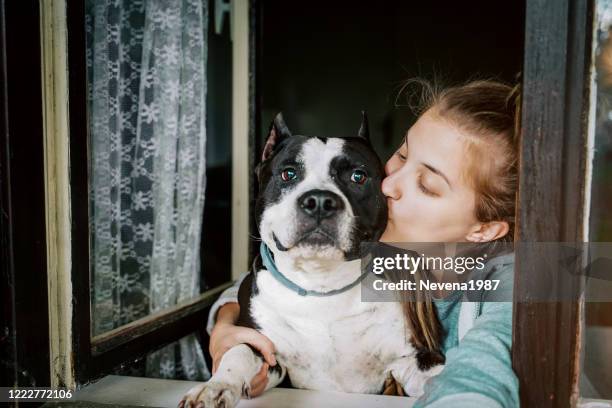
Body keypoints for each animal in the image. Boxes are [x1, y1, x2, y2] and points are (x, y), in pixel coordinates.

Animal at [182, 112, 444, 408]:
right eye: (288, 174)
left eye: (358, 176)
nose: (319, 201)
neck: (322, 284)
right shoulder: (265, 350)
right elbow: (239, 352)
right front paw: (214, 388)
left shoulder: (414, 357)